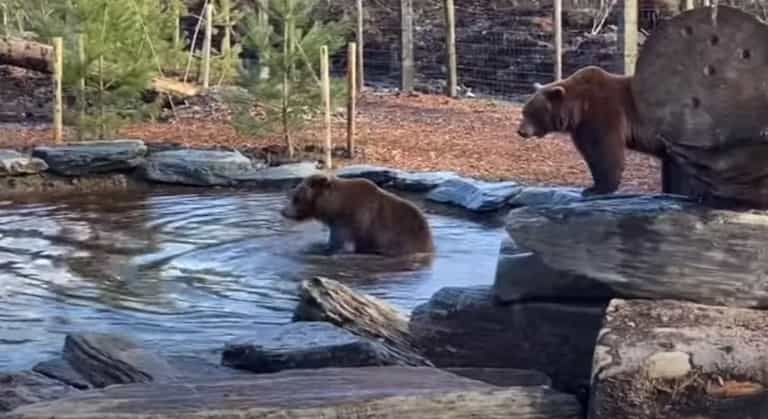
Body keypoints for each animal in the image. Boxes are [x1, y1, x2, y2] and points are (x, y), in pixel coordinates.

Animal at [516, 65, 666, 196]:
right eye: (524, 111)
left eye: (531, 113)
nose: (521, 131)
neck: (579, 109)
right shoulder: (581, 129)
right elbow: (591, 154)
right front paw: (593, 187)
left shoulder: (603, 114)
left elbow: (605, 152)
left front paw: (598, 189)